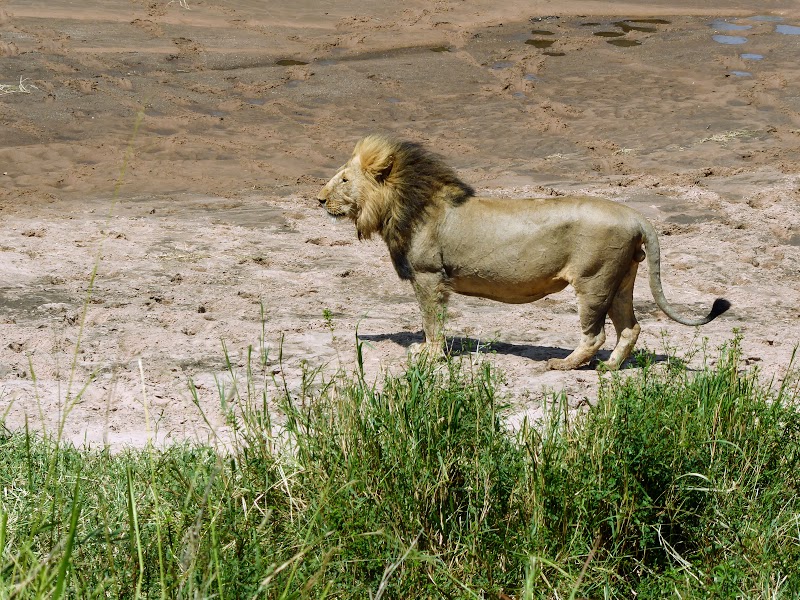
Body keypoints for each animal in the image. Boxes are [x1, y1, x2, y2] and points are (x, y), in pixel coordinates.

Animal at [316, 135, 728, 370]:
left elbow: (432, 321)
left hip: (594, 281)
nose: (319, 199)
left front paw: (428, 356)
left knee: (594, 335)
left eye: (344, 179)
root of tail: (637, 216)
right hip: (621, 279)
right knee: (631, 328)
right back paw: (610, 368)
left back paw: (564, 365)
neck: (403, 205)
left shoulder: (429, 276)